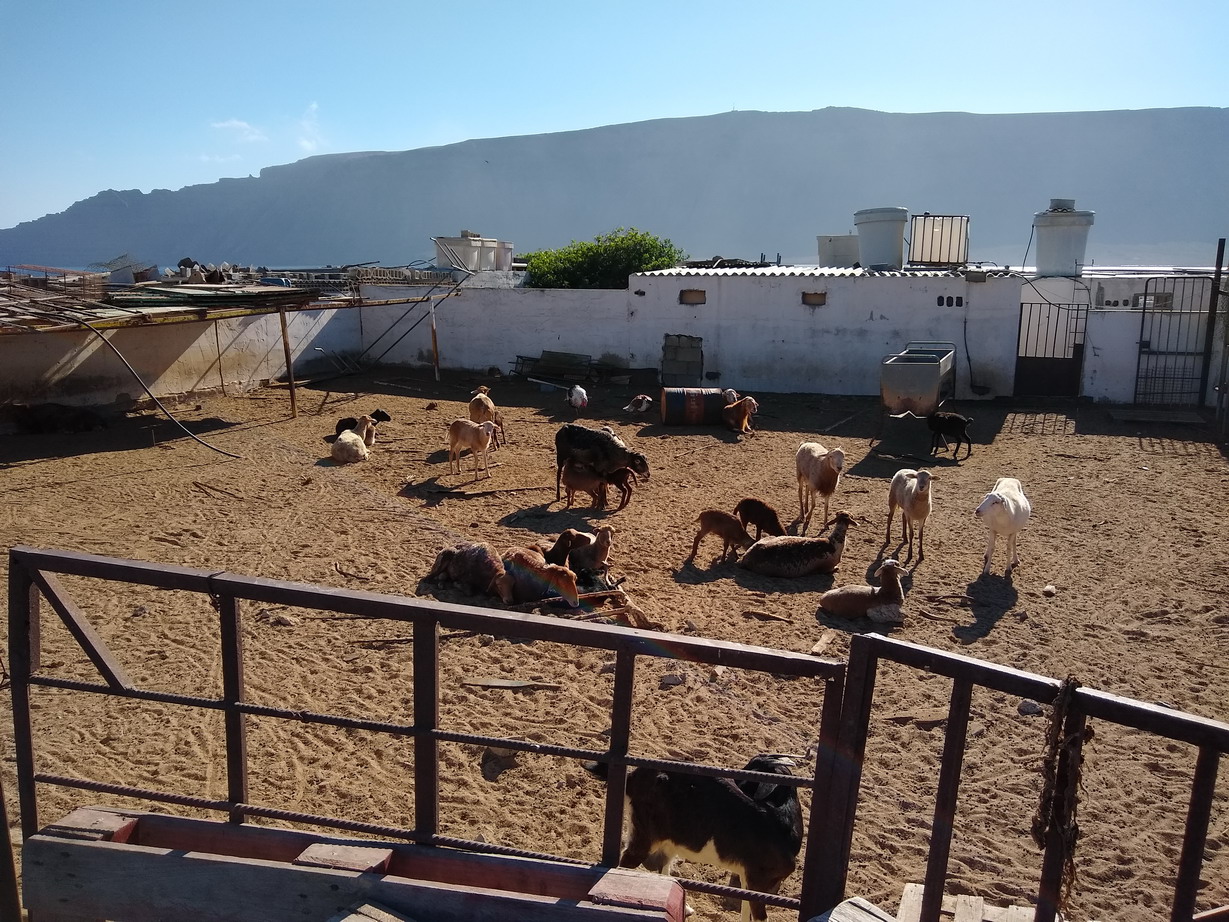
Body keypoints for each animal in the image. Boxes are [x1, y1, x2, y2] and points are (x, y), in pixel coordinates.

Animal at [619, 752, 801, 922]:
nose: (733, 782)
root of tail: (632, 777)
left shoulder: (748, 878)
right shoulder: (758, 880)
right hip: (644, 833)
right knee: (627, 861)